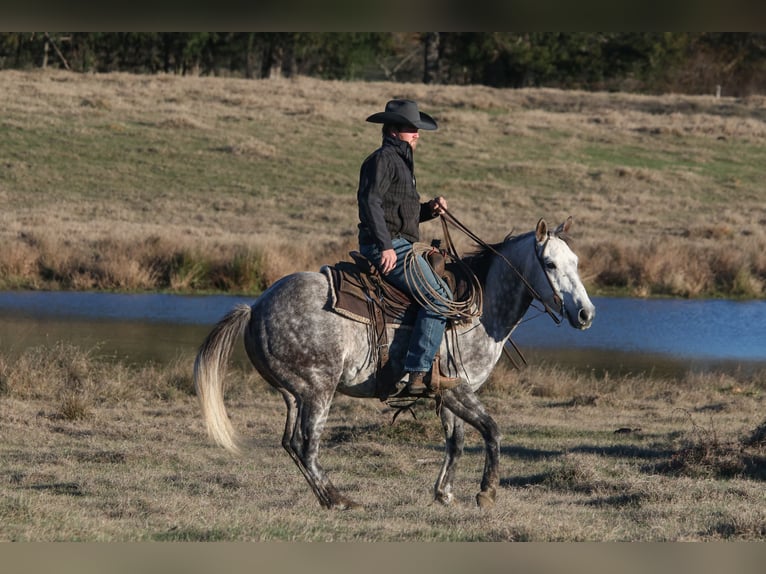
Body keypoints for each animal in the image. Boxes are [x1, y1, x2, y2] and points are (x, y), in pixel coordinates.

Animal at [195, 218, 596, 510]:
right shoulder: (460, 390)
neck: (479, 312)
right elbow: (492, 431)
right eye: (549, 263)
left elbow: (457, 441)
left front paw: (444, 494)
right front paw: (486, 492)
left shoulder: (448, 393)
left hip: (293, 394)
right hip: (319, 390)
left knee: (292, 444)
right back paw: (339, 500)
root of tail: (255, 308)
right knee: (307, 446)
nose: (585, 314)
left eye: (575, 262)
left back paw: (329, 497)